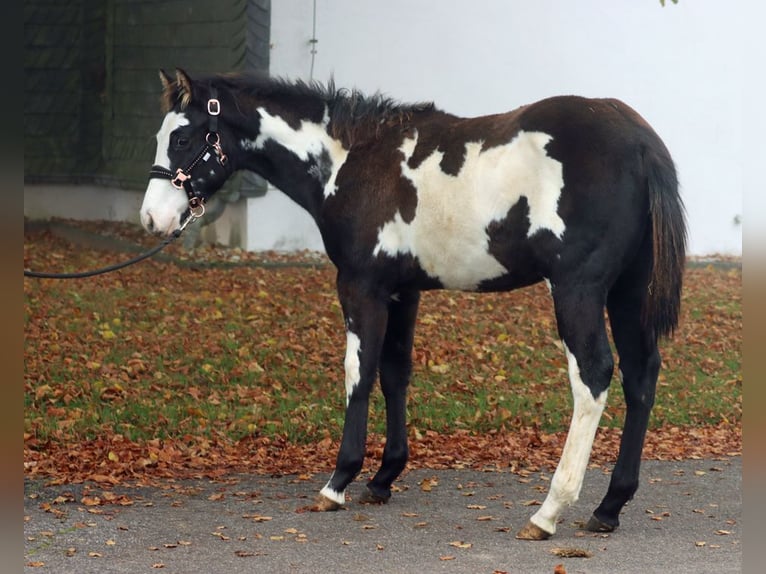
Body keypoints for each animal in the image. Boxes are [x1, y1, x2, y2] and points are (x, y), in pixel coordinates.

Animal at [141, 70, 688, 544]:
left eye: (183, 139)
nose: (151, 219)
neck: (352, 159)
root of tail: (640, 142)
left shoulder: (360, 286)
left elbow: (358, 374)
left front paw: (338, 481)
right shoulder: (402, 291)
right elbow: (395, 372)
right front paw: (383, 477)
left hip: (578, 290)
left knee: (594, 375)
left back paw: (549, 511)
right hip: (627, 293)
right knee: (642, 377)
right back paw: (608, 507)